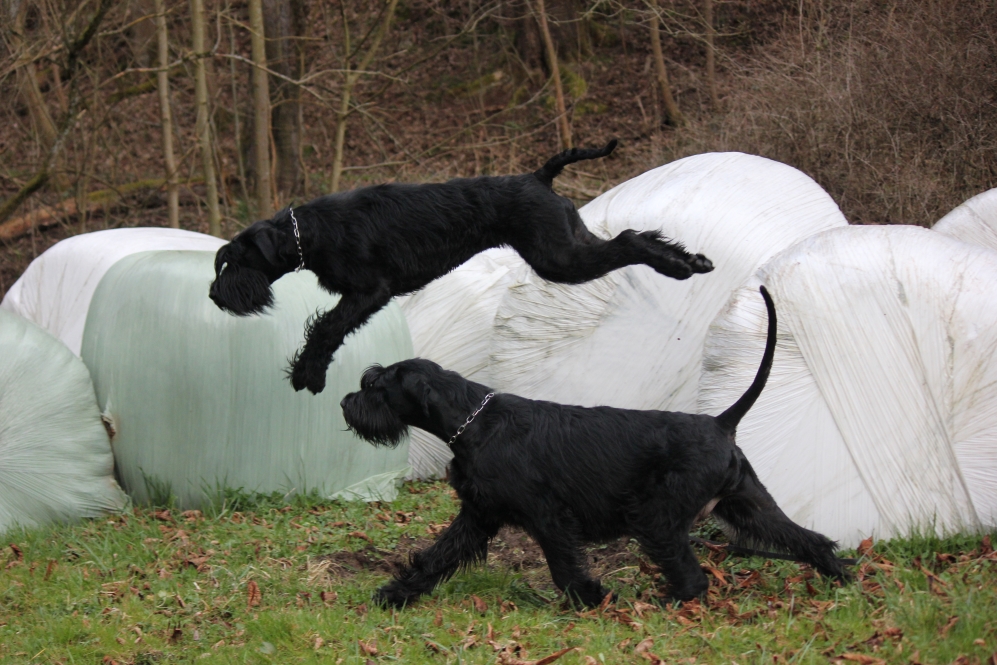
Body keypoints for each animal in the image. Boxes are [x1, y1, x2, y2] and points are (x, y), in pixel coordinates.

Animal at [206, 137, 712, 392]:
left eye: (232, 261)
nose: (213, 295)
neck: (308, 233)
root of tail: (538, 177)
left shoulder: (369, 290)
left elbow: (327, 328)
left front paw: (307, 374)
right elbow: (326, 327)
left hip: (559, 257)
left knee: (627, 241)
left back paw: (682, 267)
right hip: (570, 242)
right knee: (633, 237)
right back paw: (690, 260)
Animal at [340, 286, 848, 608]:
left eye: (377, 386)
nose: (346, 402)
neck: (473, 421)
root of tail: (721, 423)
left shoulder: (548, 516)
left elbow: (563, 565)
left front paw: (591, 599)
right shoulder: (477, 515)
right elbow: (437, 555)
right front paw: (395, 594)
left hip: (657, 518)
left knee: (693, 576)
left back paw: (665, 604)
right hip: (749, 506)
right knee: (805, 538)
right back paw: (840, 576)